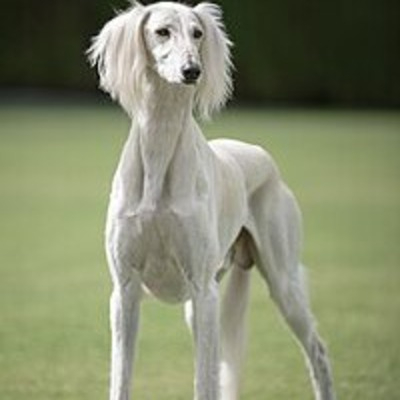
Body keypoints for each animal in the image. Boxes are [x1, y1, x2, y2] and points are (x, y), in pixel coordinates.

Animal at [89, 1, 336, 398]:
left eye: (198, 33)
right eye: (162, 32)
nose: (192, 71)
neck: (159, 151)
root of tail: (261, 153)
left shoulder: (203, 290)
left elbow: (204, 382)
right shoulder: (124, 291)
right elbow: (121, 379)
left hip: (279, 283)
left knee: (317, 349)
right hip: (201, 304)